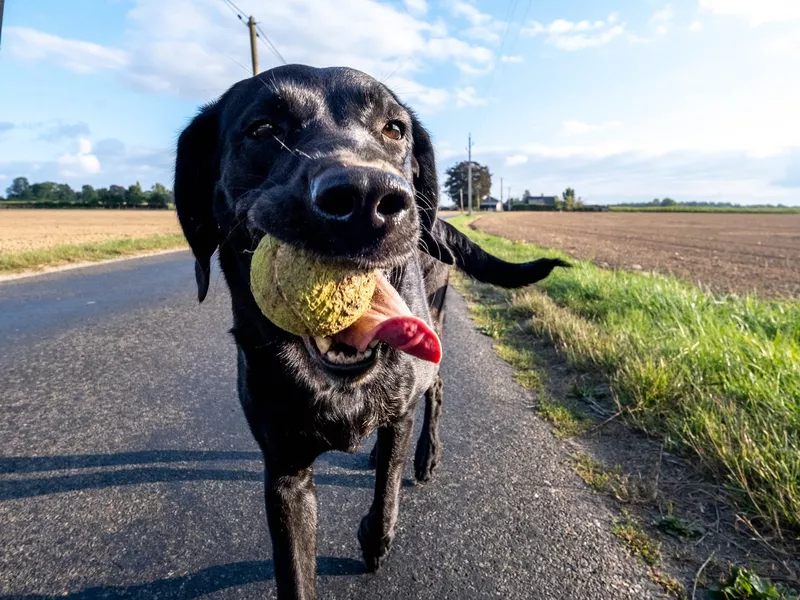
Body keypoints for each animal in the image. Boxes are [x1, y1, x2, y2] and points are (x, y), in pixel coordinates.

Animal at [175, 63, 568, 596]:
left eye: (394, 129)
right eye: (262, 129)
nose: (366, 196)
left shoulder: (401, 403)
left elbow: (388, 491)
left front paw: (375, 538)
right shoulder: (284, 472)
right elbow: (295, 571)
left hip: (434, 331)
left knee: (433, 398)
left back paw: (425, 456)